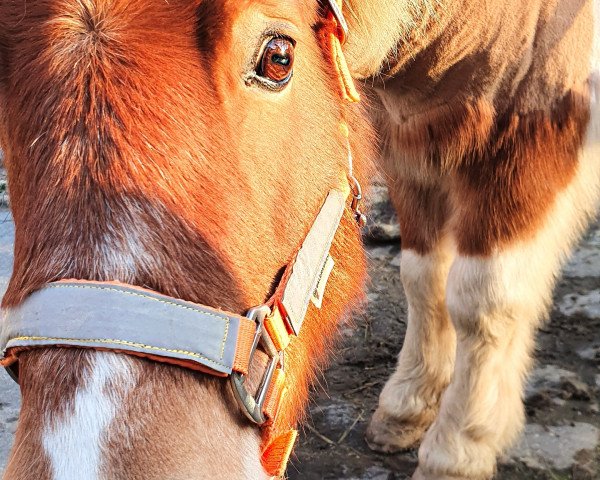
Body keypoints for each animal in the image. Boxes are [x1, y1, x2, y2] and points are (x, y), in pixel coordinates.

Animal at [1, 0, 600, 480]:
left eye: (278, 58)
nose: (89, 459)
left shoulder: (531, 120)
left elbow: (482, 301)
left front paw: (460, 446)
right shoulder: (412, 132)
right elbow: (422, 273)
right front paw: (409, 403)